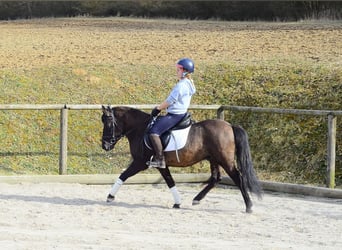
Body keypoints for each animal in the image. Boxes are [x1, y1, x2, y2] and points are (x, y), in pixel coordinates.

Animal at [101, 105, 262, 213]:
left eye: (108, 123)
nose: (105, 145)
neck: (141, 129)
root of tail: (229, 126)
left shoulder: (140, 162)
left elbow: (124, 175)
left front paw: (110, 196)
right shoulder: (161, 165)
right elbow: (170, 181)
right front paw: (177, 203)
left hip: (225, 160)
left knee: (238, 178)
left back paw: (249, 206)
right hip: (213, 159)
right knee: (216, 178)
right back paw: (197, 199)